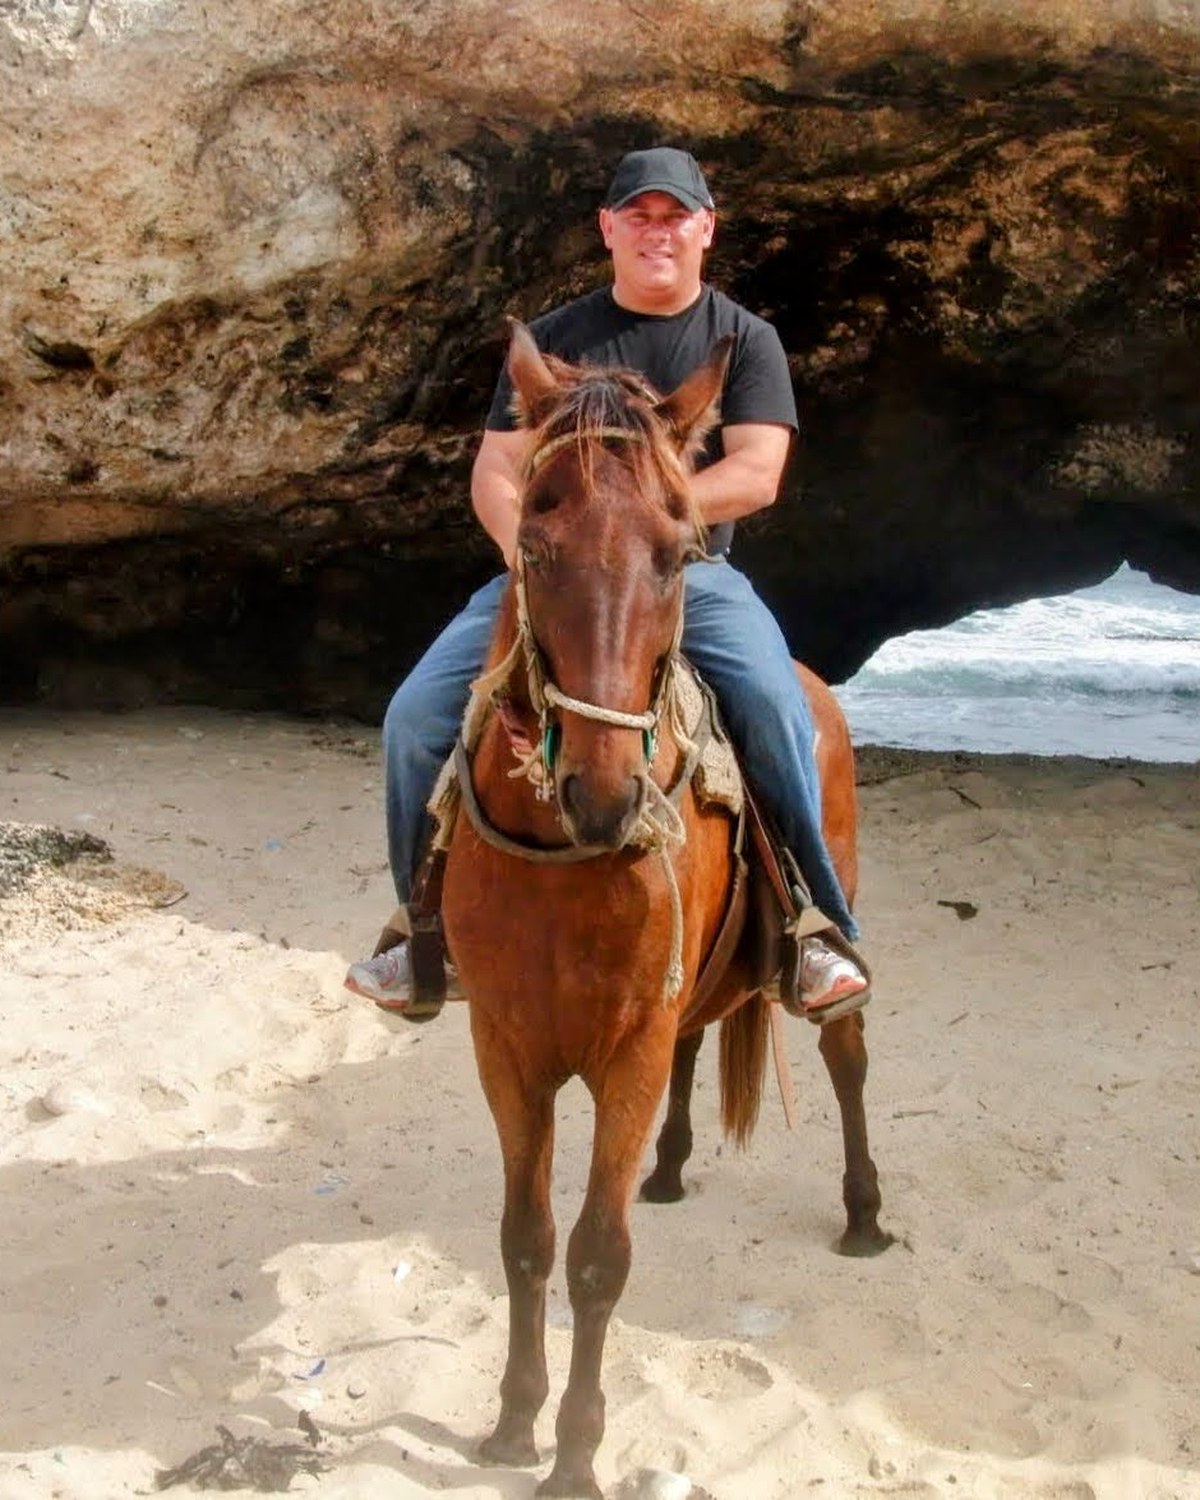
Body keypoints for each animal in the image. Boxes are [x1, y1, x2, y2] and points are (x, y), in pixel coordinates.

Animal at [440, 322, 889, 1498]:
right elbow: (524, 1236)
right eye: (535, 542)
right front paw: (512, 1422)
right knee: (701, 1046)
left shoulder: (627, 1045)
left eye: (677, 554)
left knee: (848, 1055)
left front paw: (575, 1456)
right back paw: (676, 1167)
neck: (561, 859)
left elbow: (597, 1259)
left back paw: (864, 1214)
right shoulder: (506, 1045)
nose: (604, 794)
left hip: (834, 918)